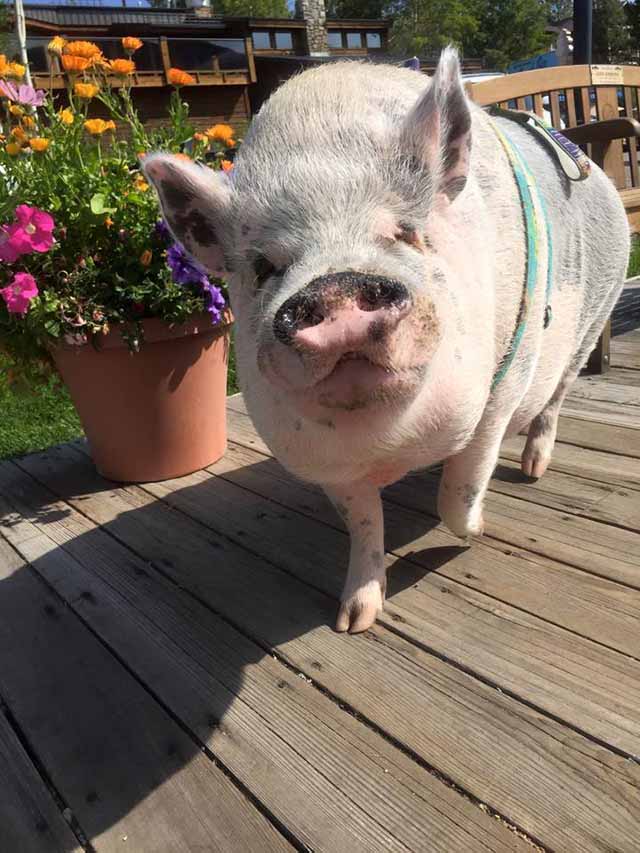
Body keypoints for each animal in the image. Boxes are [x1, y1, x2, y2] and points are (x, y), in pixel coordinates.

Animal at [144, 48, 629, 634]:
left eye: (406, 233)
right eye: (263, 267)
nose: (335, 286)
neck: (397, 448)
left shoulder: (501, 390)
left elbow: (460, 490)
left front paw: (479, 531)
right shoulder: (330, 468)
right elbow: (364, 526)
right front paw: (352, 621)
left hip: (591, 323)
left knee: (554, 401)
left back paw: (534, 471)